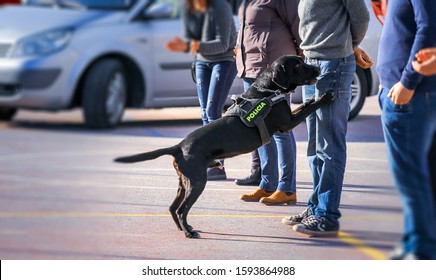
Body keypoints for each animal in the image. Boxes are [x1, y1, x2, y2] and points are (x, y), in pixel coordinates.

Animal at [114, 55, 332, 238]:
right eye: (298, 65)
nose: (317, 68)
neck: (267, 90)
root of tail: (179, 146)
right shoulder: (287, 124)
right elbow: (309, 108)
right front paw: (326, 97)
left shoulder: (288, 118)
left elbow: (305, 105)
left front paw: (314, 97)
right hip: (197, 182)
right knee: (182, 209)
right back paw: (189, 232)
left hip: (184, 182)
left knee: (172, 207)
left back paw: (184, 229)